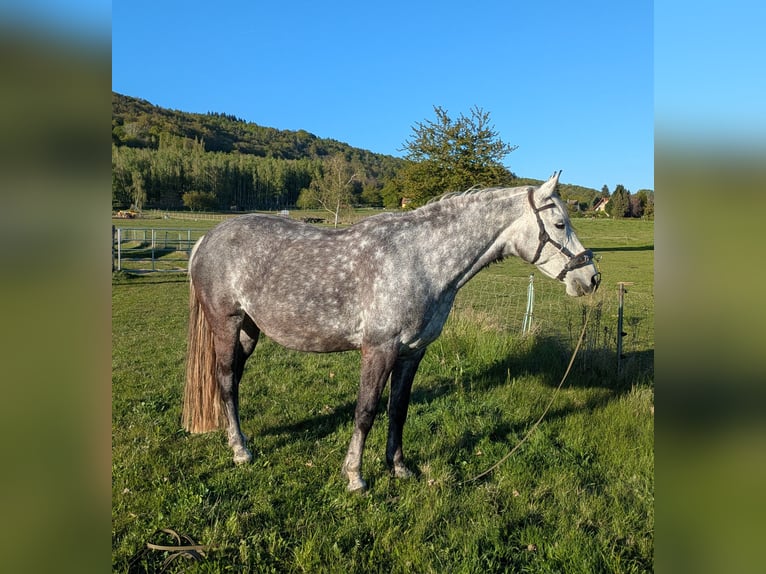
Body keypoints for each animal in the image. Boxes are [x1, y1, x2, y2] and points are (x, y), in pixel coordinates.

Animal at [183, 171, 600, 491]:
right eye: (560, 224)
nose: (591, 278)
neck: (420, 259)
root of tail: (206, 239)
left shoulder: (412, 352)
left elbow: (398, 409)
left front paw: (399, 467)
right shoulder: (378, 350)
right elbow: (366, 411)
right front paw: (355, 476)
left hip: (249, 331)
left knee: (234, 381)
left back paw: (239, 440)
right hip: (226, 323)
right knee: (225, 381)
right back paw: (241, 451)